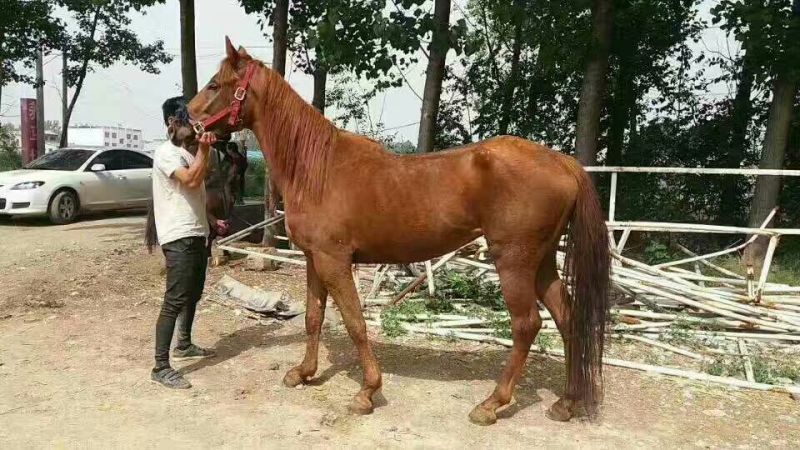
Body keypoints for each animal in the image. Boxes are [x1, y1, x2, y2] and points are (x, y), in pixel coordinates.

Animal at [187, 37, 610, 425]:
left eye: (214, 84)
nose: (183, 122)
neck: (316, 168)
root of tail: (563, 162)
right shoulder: (313, 259)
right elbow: (313, 317)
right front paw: (304, 373)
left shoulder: (334, 261)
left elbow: (355, 322)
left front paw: (366, 392)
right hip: (542, 262)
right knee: (567, 318)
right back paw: (566, 402)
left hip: (513, 262)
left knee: (526, 325)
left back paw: (491, 404)